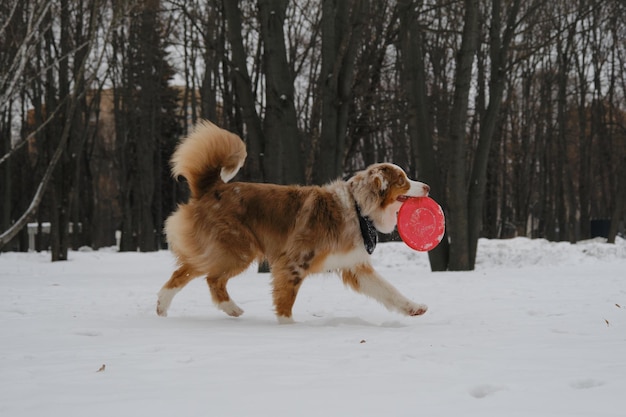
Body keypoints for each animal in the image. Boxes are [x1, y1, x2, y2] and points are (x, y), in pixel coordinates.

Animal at [156, 120, 428, 322]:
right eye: (403, 180)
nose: (427, 186)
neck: (358, 208)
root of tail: (211, 187)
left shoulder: (354, 265)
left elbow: (388, 290)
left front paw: (413, 307)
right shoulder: (294, 261)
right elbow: (286, 298)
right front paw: (289, 328)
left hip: (220, 249)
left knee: (186, 271)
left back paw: (163, 306)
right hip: (238, 248)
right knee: (211, 278)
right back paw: (231, 308)